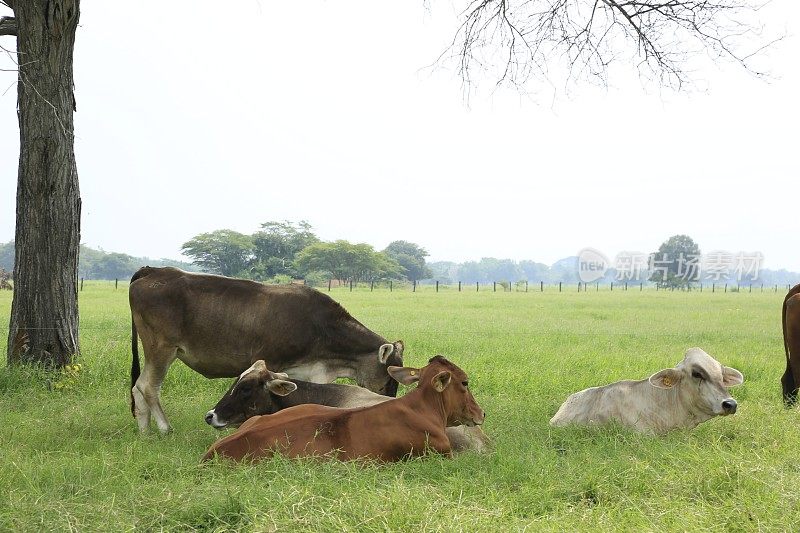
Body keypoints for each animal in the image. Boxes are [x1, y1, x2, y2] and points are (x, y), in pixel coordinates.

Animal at [134, 266, 406, 432]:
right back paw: (165, 429)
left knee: (137, 387)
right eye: (387, 380)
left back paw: (144, 431)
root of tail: (152, 271)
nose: (390, 403)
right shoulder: (273, 360)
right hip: (161, 349)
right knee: (148, 386)